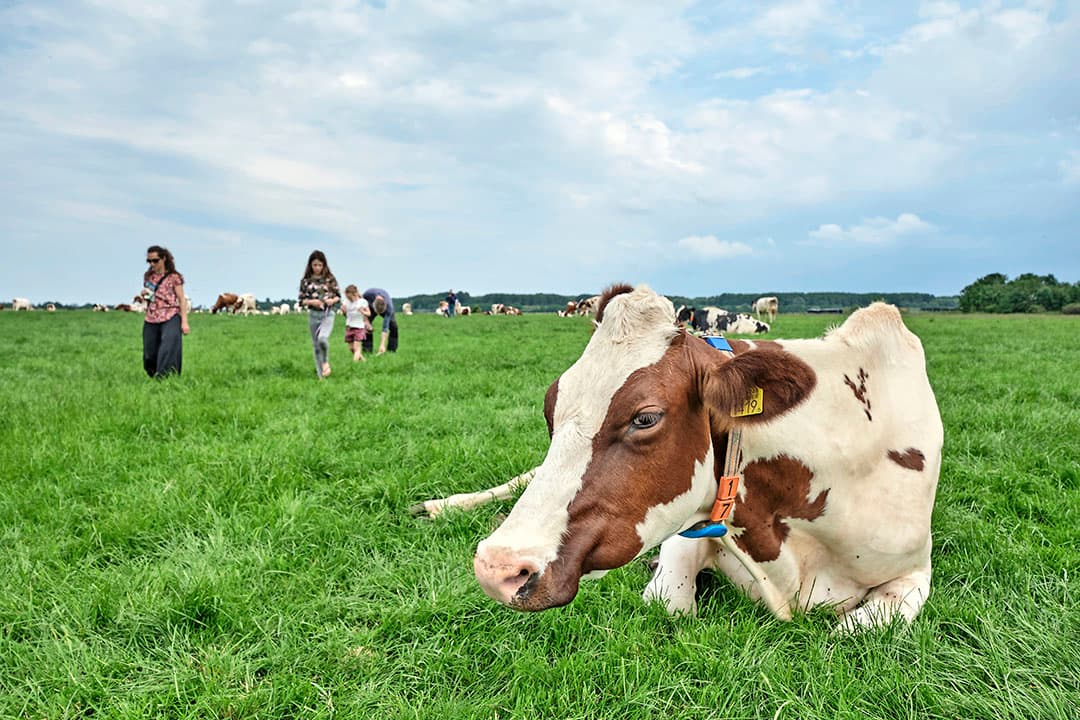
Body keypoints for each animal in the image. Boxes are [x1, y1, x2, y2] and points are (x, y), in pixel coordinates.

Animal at [417, 284, 943, 631]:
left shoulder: (916, 573)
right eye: (551, 405)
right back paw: (441, 505)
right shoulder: (685, 531)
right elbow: (671, 602)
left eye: (645, 418)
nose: (497, 568)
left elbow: (855, 627)